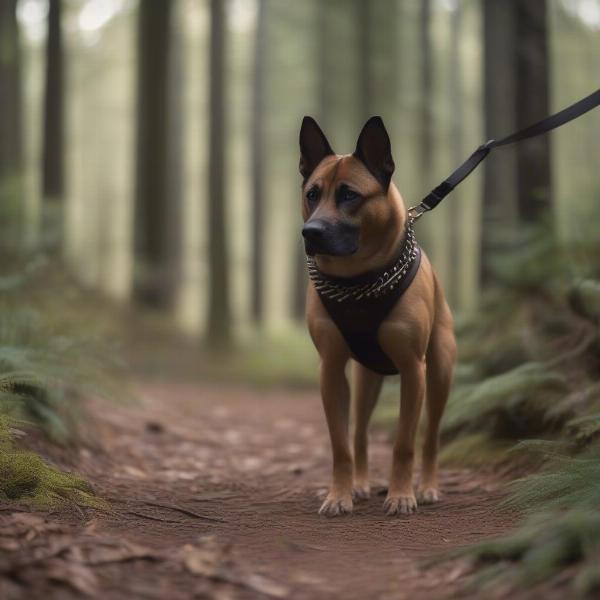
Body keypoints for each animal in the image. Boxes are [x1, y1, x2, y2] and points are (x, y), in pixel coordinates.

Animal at [298, 116, 458, 516]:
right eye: (312, 193)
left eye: (350, 195)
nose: (310, 232)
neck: (358, 279)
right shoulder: (331, 369)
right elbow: (340, 445)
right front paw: (338, 495)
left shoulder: (413, 370)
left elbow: (404, 443)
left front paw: (402, 495)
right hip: (365, 378)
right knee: (359, 434)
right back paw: (359, 484)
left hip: (440, 372)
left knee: (431, 437)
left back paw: (427, 486)